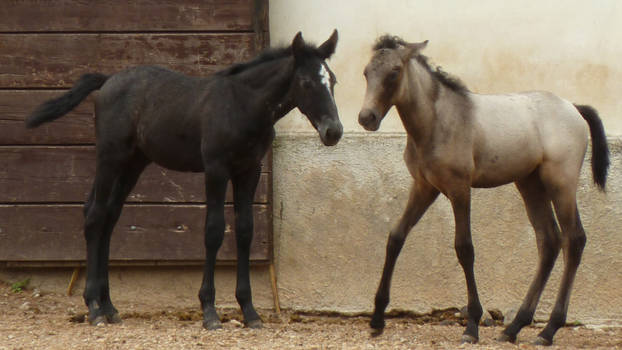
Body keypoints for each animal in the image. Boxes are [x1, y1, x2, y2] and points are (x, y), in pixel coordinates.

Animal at [358, 35, 612, 344]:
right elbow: (396, 237)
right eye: (366, 72)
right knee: (549, 240)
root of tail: (573, 107)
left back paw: (548, 330)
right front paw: (377, 319)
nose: (366, 117)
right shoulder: (424, 187)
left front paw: (471, 326)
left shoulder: (459, 188)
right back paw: (514, 327)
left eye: (394, 72)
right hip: (530, 184)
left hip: (560, 182)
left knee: (573, 239)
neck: (437, 120)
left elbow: (464, 248)